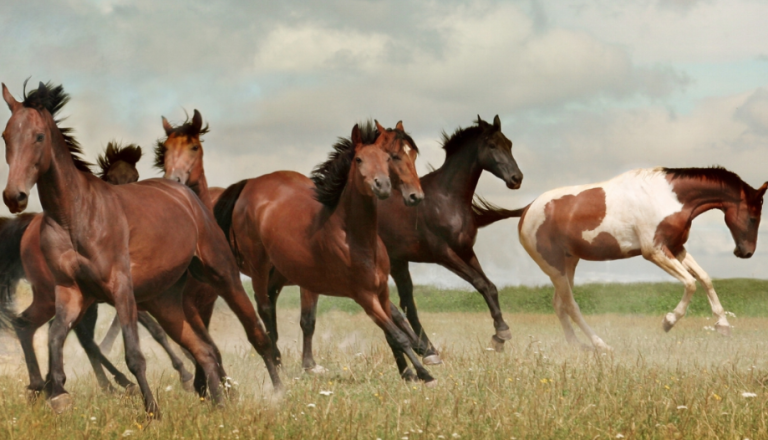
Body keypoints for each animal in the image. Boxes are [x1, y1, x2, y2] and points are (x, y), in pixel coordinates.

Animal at [1, 81, 281, 416]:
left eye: (39, 136)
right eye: (5, 136)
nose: (13, 196)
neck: (74, 215)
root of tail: (185, 195)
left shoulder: (121, 288)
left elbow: (134, 354)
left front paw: (152, 411)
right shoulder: (69, 291)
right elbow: (56, 337)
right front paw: (57, 393)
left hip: (221, 275)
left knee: (254, 335)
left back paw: (278, 393)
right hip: (165, 302)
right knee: (204, 350)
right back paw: (218, 405)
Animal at [214, 121, 437, 383]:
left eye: (409, 155)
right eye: (394, 156)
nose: (415, 196)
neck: (355, 238)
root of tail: (250, 185)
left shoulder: (378, 291)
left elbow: (394, 325)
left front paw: (412, 368)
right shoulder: (362, 295)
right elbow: (396, 333)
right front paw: (423, 371)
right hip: (259, 269)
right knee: (265, 309)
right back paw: (277, 362)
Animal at [501, 167, 765, 350]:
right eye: (753, 217)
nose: (745, 252)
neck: (669, 197)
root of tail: (527, 209)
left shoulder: (675, 247)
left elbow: (705, 278)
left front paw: (723, 326)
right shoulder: (654, 251)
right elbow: (690, 283)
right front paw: (668, 321)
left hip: (569, 263)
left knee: (559, 304)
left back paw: (577, 346)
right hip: (554, 267)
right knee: (571, 306)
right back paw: (601, 345)